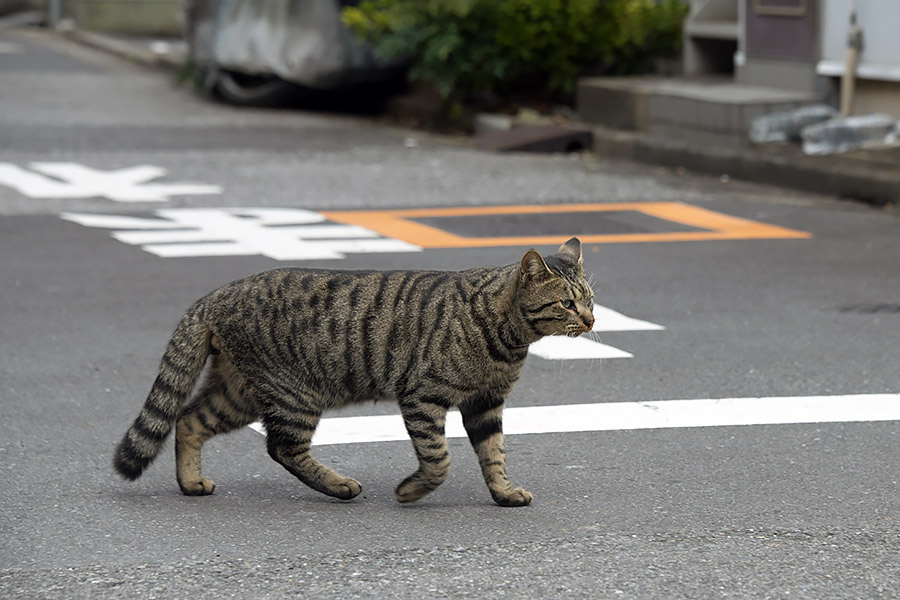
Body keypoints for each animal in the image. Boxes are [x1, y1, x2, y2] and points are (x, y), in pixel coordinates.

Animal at [112, 237, 596, 504]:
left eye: (590, 300)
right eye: (567, 303)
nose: (592, 321)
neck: (506, 339)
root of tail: (215, 294)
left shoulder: (485, 403)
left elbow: (493, 454)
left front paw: (503, 493)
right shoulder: (422, 396)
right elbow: (439, 459)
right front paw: (411, 491)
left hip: (238, 392)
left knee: (188, 418)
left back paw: (191, 483)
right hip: (293, 394)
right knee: (282, 448)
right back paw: (340, 485)